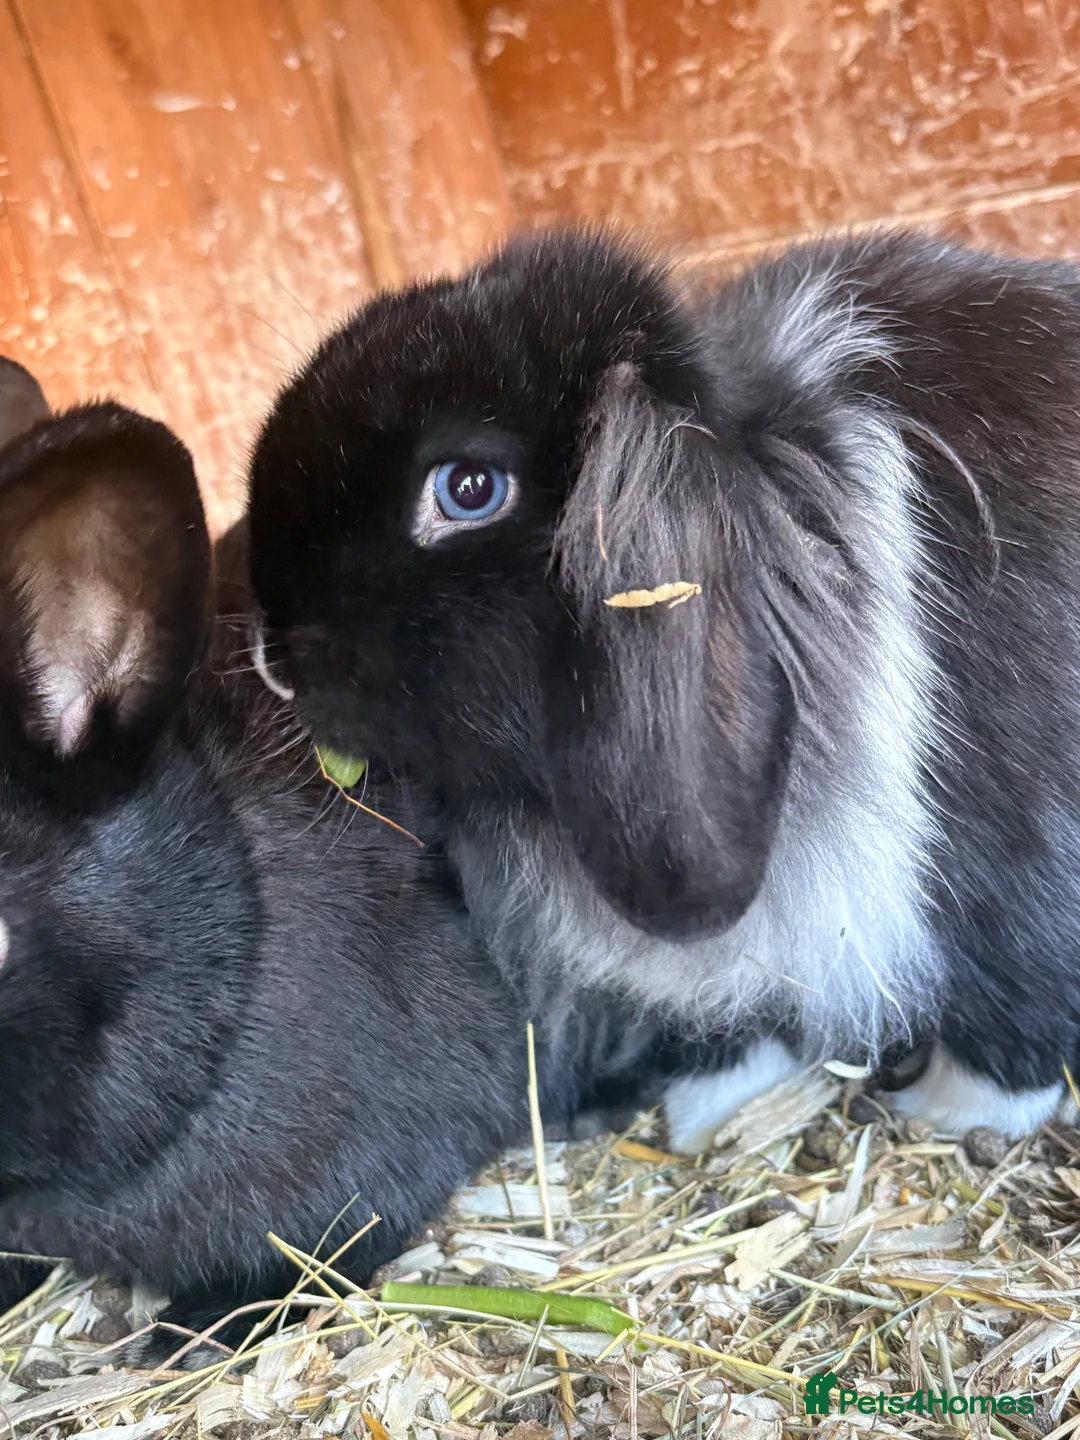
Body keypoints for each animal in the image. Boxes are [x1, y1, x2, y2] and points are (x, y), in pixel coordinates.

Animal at [243, 226, 1080, 1144]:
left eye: (468, 490)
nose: (272, 660)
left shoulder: (1017, 868)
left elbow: (1012, 1016)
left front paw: (945, 1116)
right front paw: (708, 1110)